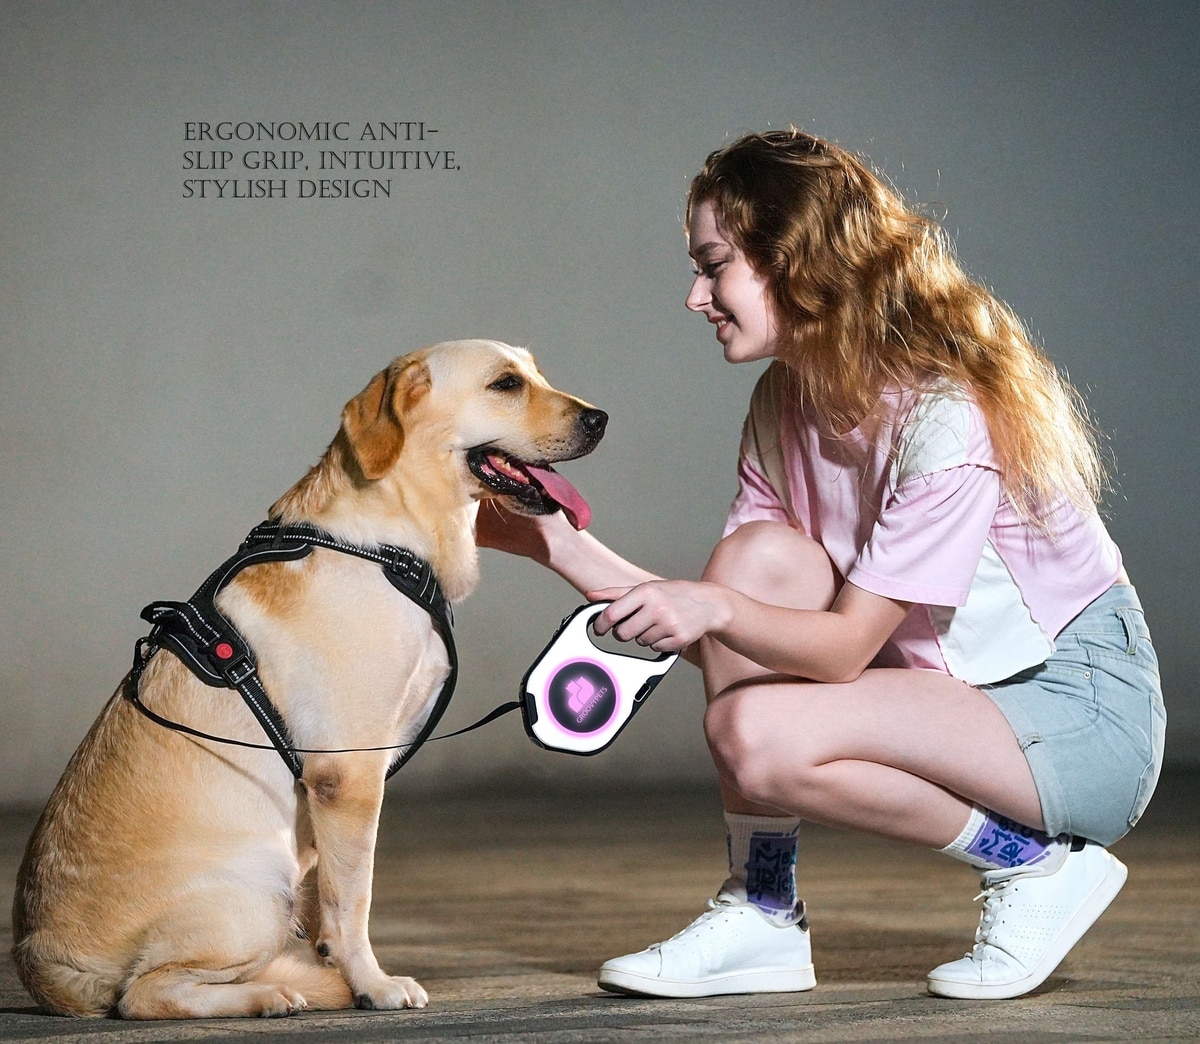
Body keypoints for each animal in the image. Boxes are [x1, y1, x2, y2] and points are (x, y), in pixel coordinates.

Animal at [12, 339, 607, 1019]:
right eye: (506, 384)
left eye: (536, 373)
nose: (600, 419)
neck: (388, 542)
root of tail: (42, 968)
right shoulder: (347, 776)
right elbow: (354, 901)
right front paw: (372, 984)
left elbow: (332, 901)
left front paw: (342, 972)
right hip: (255, 892)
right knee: (145, 993)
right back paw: (270, 994)